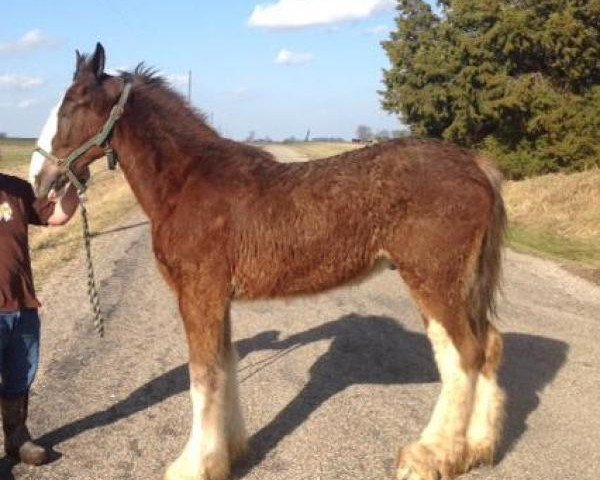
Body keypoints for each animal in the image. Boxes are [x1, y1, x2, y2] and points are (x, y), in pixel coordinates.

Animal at [31, 43, 506, 478]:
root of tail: (477, 165)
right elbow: (225, 366)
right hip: (459, 285)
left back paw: (430, 457)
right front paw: (229, 453)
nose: (39, 180)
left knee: (462, 356)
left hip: (434, 280)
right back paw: (478, 448)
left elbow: (202, 376)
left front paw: (192, 465)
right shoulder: (216, 298)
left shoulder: (198, 295)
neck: (187, 183)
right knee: (488, 347)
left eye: (73, 105)